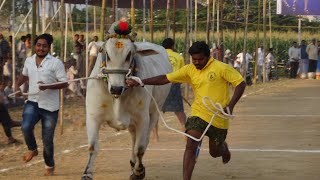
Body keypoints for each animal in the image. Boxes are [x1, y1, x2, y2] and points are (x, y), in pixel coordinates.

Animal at [82, 35, 171, 179]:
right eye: (106, 54)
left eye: (129, 55)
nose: (116, 88)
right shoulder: (93, 117)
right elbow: (92, 147)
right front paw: (87, 173)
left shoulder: (142, 119)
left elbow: (140, 148)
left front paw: (139, 172)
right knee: (134, 137)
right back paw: (132, 163)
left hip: (154, 113)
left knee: (143, 141)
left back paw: (136, 167)